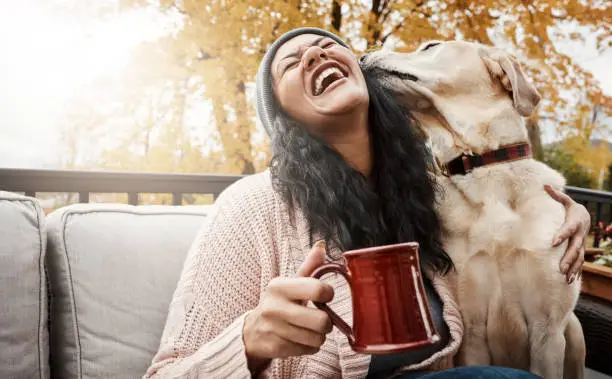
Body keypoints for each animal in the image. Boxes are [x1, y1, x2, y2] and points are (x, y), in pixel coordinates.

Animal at [360, 41, 584, 379]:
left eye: (430, 46)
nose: (361, 56)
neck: (484, 167)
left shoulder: (548, 330)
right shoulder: (472, 327)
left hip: (573, 330)